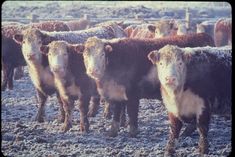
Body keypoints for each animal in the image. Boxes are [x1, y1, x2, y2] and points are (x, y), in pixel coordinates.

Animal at [73, 32, 215, 137]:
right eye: (85, 54)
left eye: (102, 54)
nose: (93, 70)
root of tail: (203, 35)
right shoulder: (116, 93)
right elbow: (117, 114)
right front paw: (112, 132)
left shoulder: (133, 93)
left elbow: (132, 112)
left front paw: (133, 133)